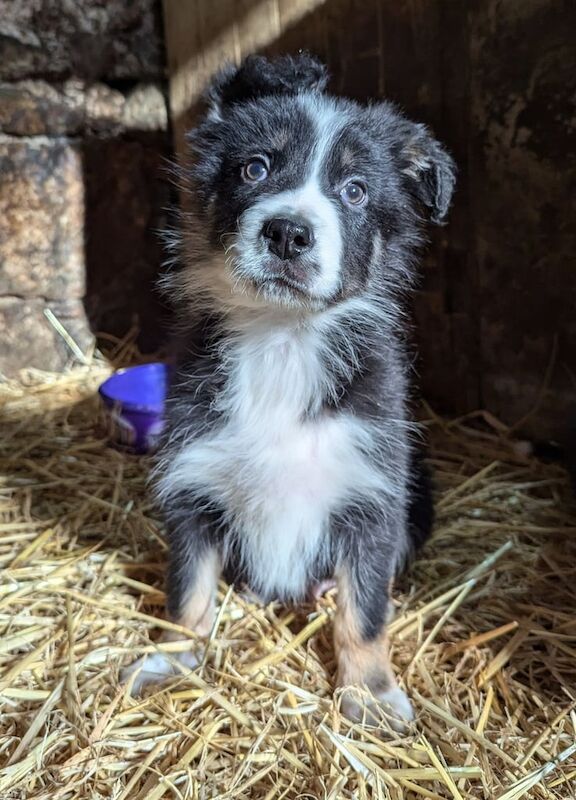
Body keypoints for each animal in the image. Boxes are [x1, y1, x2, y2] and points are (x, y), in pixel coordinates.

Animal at [125, 53, 454, 728]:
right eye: (255, 168)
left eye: (355, 191)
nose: (287, 234)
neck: (280, 340)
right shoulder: (191, 483)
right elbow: (187, 591)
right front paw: (171, 661)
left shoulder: (373, 496)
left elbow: (365, 610)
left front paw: (369, 692)